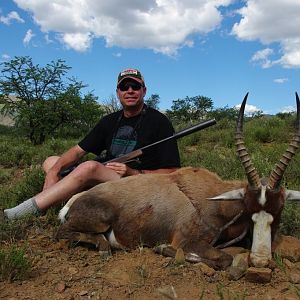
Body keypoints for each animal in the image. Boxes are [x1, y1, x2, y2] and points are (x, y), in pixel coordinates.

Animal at [56, 93, 300, 270]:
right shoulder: (186, 241)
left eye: (279, 210)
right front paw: (162, 249)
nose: (260, 261)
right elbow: (223, 259)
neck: (213, 198)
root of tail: (74, 200)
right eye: (249, 208)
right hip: (100, 221)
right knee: (63, 233)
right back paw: (105, 247)